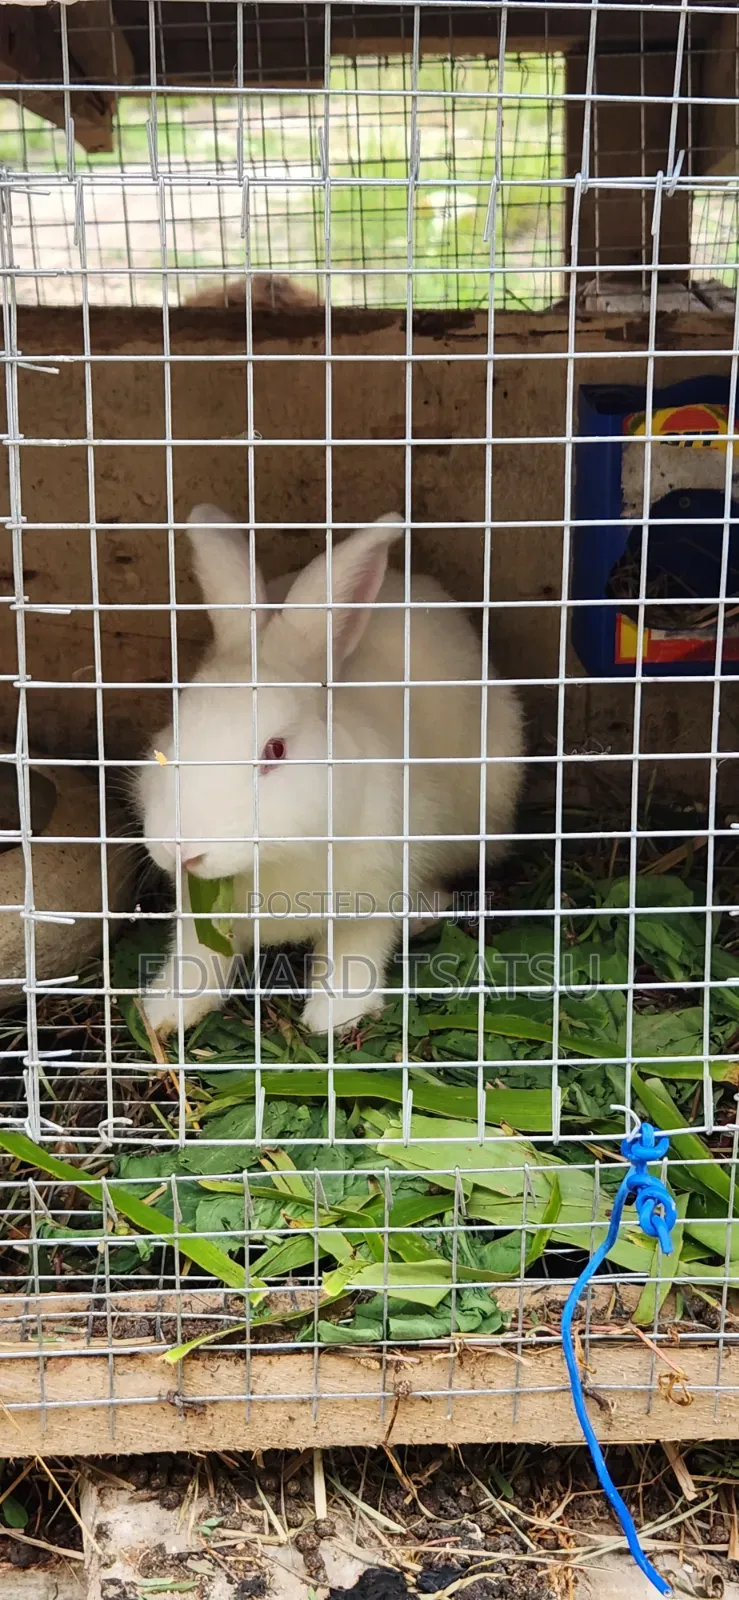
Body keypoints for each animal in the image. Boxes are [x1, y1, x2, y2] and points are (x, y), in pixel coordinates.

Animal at [136, 504, 524, 1037]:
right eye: (175, 731)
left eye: (275, 750)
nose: (182, 851)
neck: (277, 859)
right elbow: (198, 956)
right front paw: (163, 1011)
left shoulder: (374, 890)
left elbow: (354, 951)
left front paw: (334, 1017)